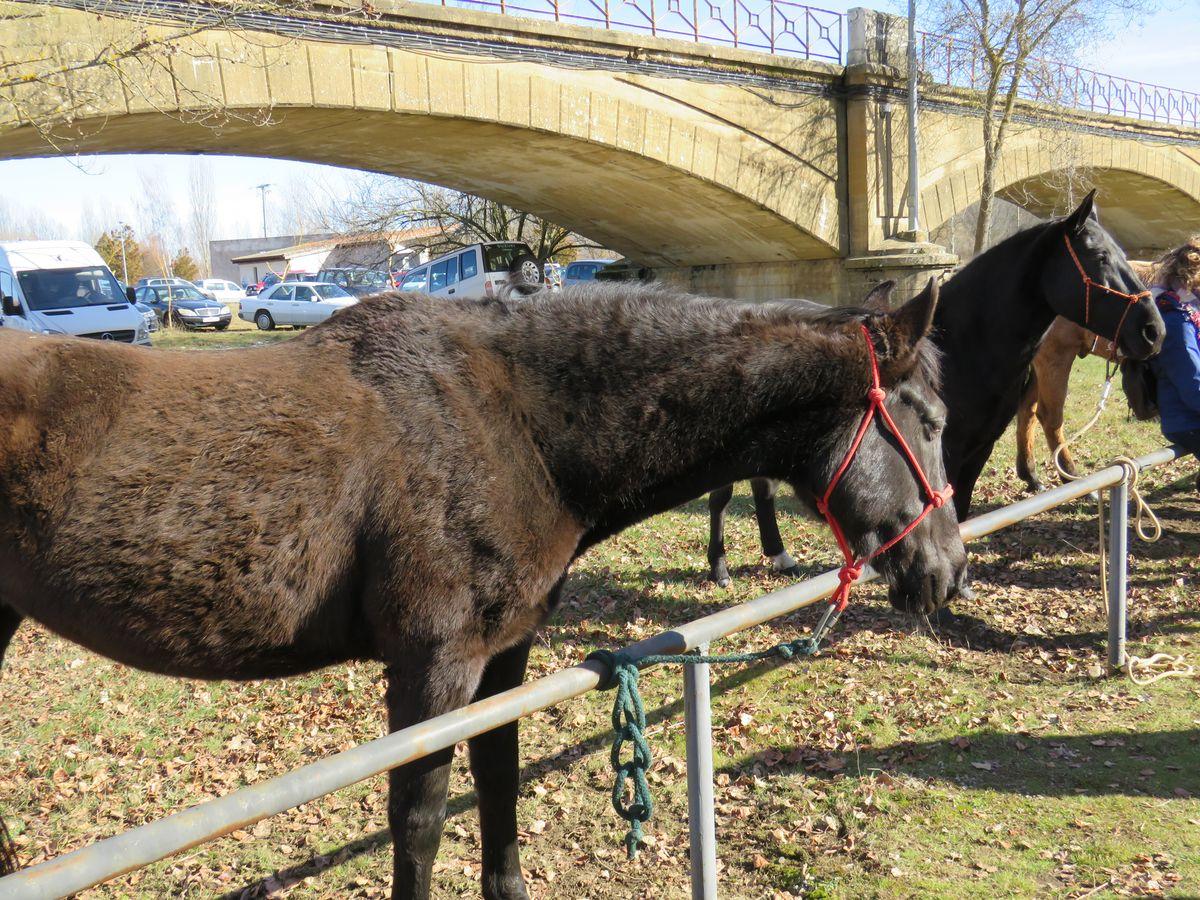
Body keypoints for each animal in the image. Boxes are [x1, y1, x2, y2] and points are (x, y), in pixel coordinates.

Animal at [0, 278, 964, 897]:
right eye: (926, 418)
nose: (948, 570)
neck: (514, 421)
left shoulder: (505, 657)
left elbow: (498, 787)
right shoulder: (433, 665)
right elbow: (420, 818)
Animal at [700, 190, 1161, 585]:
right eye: (1099, 257)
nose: (1153, 331)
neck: (963, 343)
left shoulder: (978, 447)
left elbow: (964, 512)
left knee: (762, 487)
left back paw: (779, 555)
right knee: (721, 496)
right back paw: (720, 567)